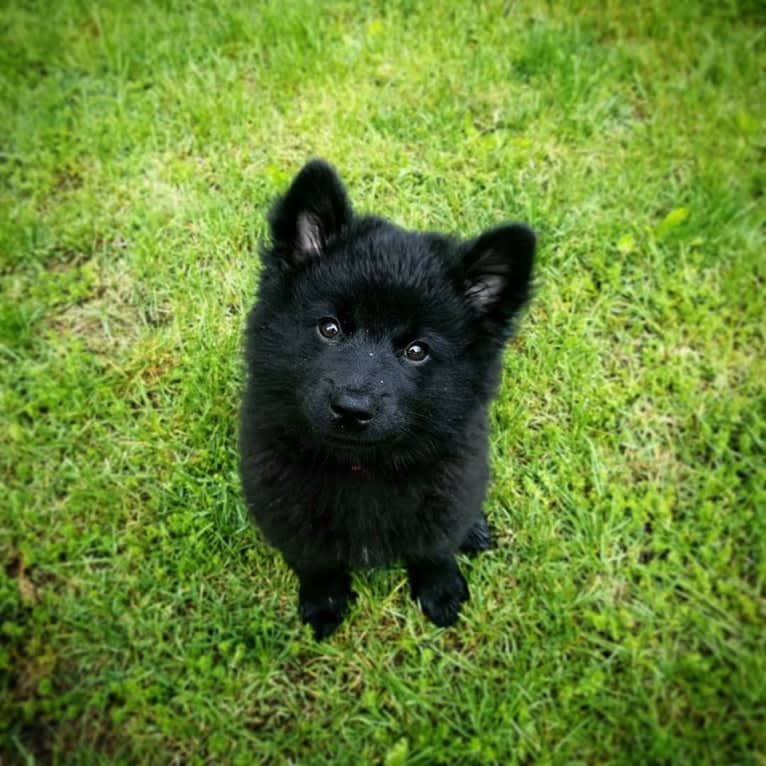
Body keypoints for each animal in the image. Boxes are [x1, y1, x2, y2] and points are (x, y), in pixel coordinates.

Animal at [238, 159, 536, 640]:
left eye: (416, 351)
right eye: (330, 328)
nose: (352, 409)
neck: (362, 468)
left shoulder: (449, 493)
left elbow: (435, 549)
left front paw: (441, 590)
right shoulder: (284, 506)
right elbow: (315, 560)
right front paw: (324, 601)